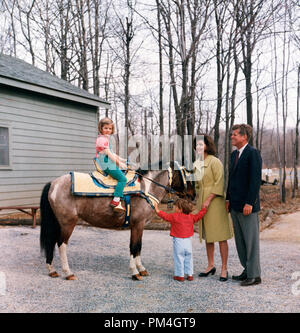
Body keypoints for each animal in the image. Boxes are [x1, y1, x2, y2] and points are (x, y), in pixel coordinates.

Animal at [39, 163, 195, 280]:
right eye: (186, 175)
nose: (193, 196)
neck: (146, 189)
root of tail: (53, 183)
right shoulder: (137, 225)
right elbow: (134, 247)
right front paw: (135, 273)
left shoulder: (140, 227)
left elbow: (139, 247)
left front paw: (141, 269)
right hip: (68, 223)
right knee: (61, 244)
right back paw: (68, 272)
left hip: (58, 223)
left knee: (51, 242)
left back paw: (52, 270)